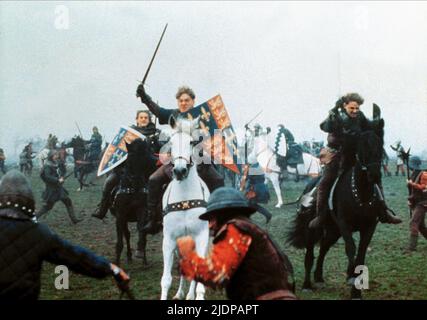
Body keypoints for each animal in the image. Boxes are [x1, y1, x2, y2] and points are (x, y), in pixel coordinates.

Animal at [160, 115, 211, 300]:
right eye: (171, 142)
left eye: (191, 142)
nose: (180, 171)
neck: (184, 201)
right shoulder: (169, 240)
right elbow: (166, 279)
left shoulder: (201, 237)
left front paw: (195, 294)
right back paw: (180, 293)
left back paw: (188, 294)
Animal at [290, 126, 386, 298]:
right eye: (362, 148)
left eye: (380, 147)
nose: (375, 175)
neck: (361, 194)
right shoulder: (345, 225)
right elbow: (351, 249)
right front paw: (352, 281)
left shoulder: (369, 227)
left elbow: (361, 254)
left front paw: (356, 286)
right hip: (313, 230)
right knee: (310, 255)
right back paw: (307, 284)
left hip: (333, 231)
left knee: (323, 248)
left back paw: (319, 277)